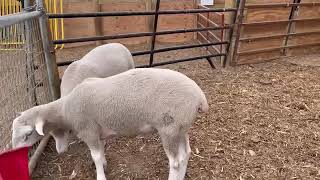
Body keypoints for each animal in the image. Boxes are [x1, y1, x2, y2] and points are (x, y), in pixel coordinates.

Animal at [11, 68, 208, 180]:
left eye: (27, 134)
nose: (14, 153)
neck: (65, 110)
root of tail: (200, 97)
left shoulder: (88, 131)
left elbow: (96, 156)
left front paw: (100, 175)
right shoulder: (98, 131)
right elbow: (102, 149)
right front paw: (104, 164)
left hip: (169, 129)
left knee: (175, 162)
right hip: (181, 127)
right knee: (186, 154)